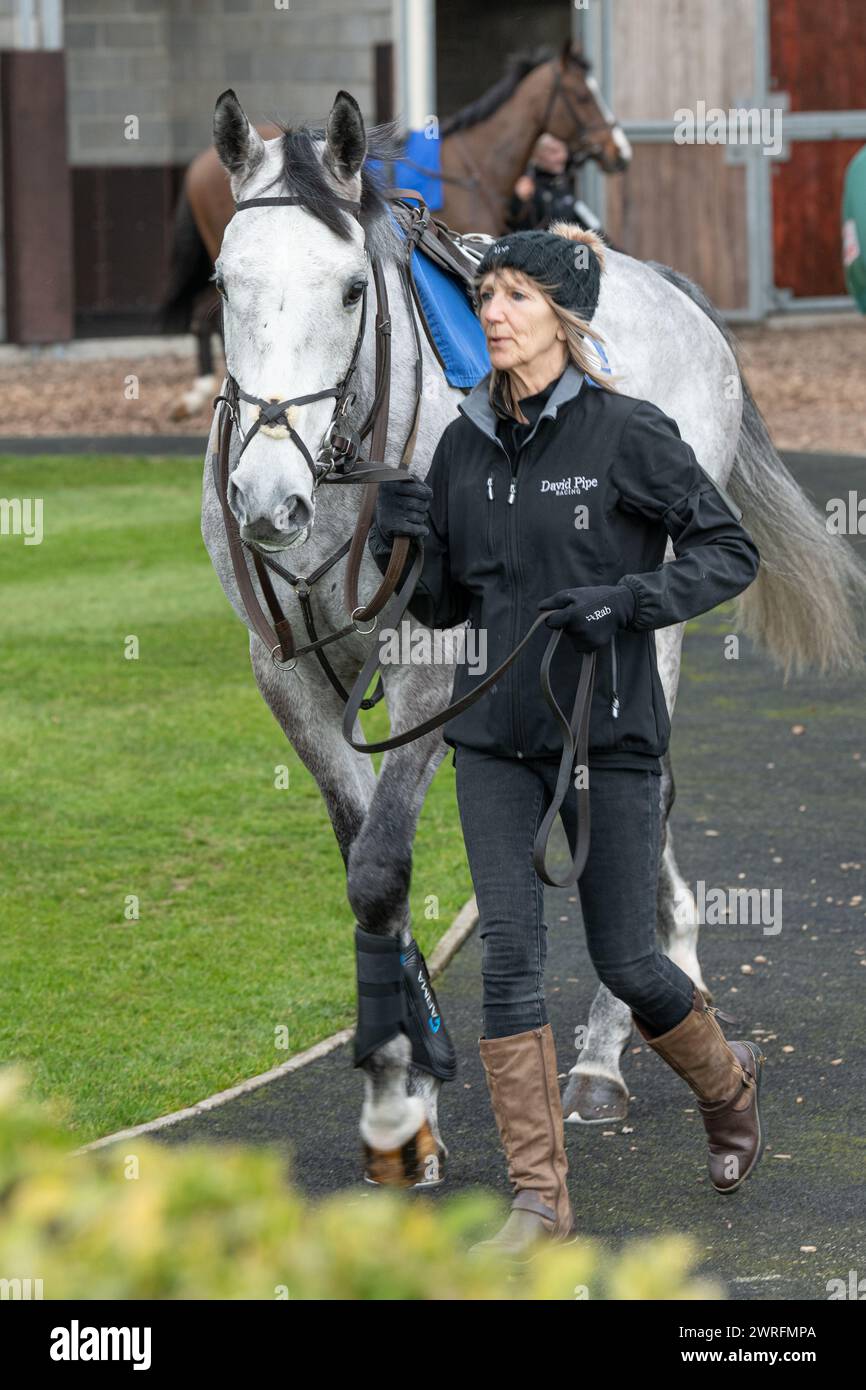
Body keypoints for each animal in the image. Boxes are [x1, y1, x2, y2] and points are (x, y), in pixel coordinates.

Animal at [200, 84, 866, 1173]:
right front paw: (411, 1069)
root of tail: (672, 292)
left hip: (645, 612)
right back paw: (675, 963)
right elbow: (362, 859)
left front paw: (402, 1094)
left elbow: (381, 868)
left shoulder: (432, 665)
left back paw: (604, 1048)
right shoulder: (286, 672)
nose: (266, 496)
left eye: (350, 290)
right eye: (224, 282)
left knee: (636, 787)